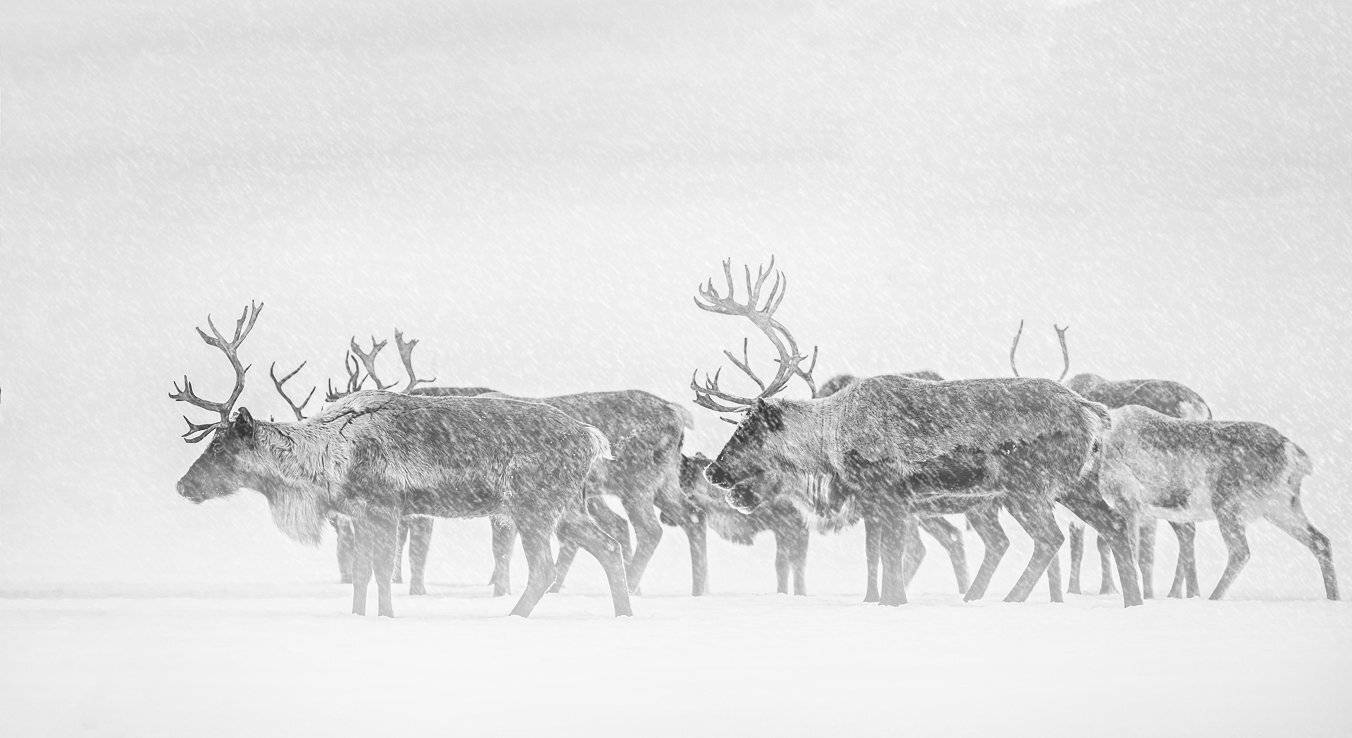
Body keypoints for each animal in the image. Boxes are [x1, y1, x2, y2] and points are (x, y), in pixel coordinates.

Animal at [170, 302, 632, 618]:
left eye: (221, 447)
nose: (182, 484)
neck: (327, 464)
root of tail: (591, 437)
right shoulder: (359, 514)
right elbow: (360, 575)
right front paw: (360, 617)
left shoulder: (386, 506)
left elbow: (382, 572)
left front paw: (387, 618)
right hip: (568, 505)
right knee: (608, 547)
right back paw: (623, 614)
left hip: (533, 504)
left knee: (545, 568)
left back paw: (512, 618)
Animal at [690, 258, 1142, 608]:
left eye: (747, 429)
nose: (713, 471)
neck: (830, 437)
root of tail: (1092, 411)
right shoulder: (888, 503)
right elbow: (884, 560)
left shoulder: (887, 493)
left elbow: (890, 561)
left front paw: (892, 603)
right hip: (1076, 483)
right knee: (1115, 526)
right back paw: (1132, 602)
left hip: (1026, 486)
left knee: (1050, 539)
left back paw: (1009, 601)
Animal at [1011, 321, 1211, 598]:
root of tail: (1194, 406)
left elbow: (1084, 543)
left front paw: (1082, 589)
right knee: (1186, 531)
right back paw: (1183, 591)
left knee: (1184, 531)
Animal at [1097, 404, 1336, 600]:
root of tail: (1294, 454)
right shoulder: (1146, 513)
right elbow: (1143, 559)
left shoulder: (1128, 503)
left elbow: (1131, 556)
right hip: (1281, 507)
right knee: (1320, 541)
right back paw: (1334, 598)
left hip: (1229, 507)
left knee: (1241, 552)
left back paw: (1213, 598)